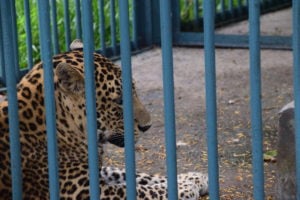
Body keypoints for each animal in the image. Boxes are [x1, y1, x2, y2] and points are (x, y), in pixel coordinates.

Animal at [0, 39, 209, 199]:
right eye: (119, 101)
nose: (147, 126)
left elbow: (135, 175)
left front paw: (194, 178)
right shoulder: (83, 191)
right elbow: (142, 191)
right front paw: (186, 188)